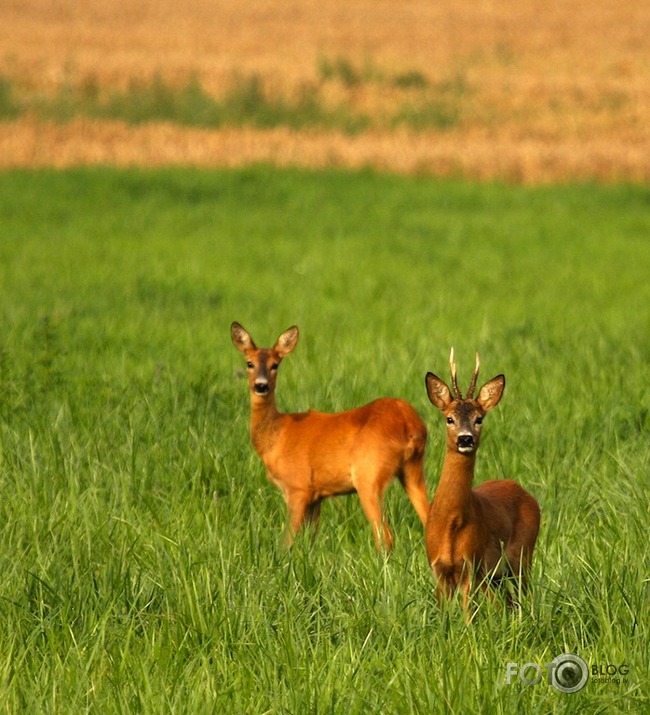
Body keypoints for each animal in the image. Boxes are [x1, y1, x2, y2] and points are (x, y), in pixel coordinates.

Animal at [230, 322, 428, 552]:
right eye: (249, 363)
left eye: (275, 365)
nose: (261, 385)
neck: (276, 435)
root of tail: (409, 424)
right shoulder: (318, 495)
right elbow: (310, 540)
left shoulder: (298, 487)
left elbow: (287, 541)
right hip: (413, 470)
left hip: (369, 475)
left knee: (385, 537)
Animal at [422, 350, 540, 612]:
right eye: (449, 419)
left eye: (479, 418)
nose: (465, 439)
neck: (451, 523)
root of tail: (524, 492)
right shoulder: (438, 568)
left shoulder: (471, 566)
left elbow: (469, 614)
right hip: (496, 576)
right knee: (508, 601)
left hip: (522, 556)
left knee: (524, 596)